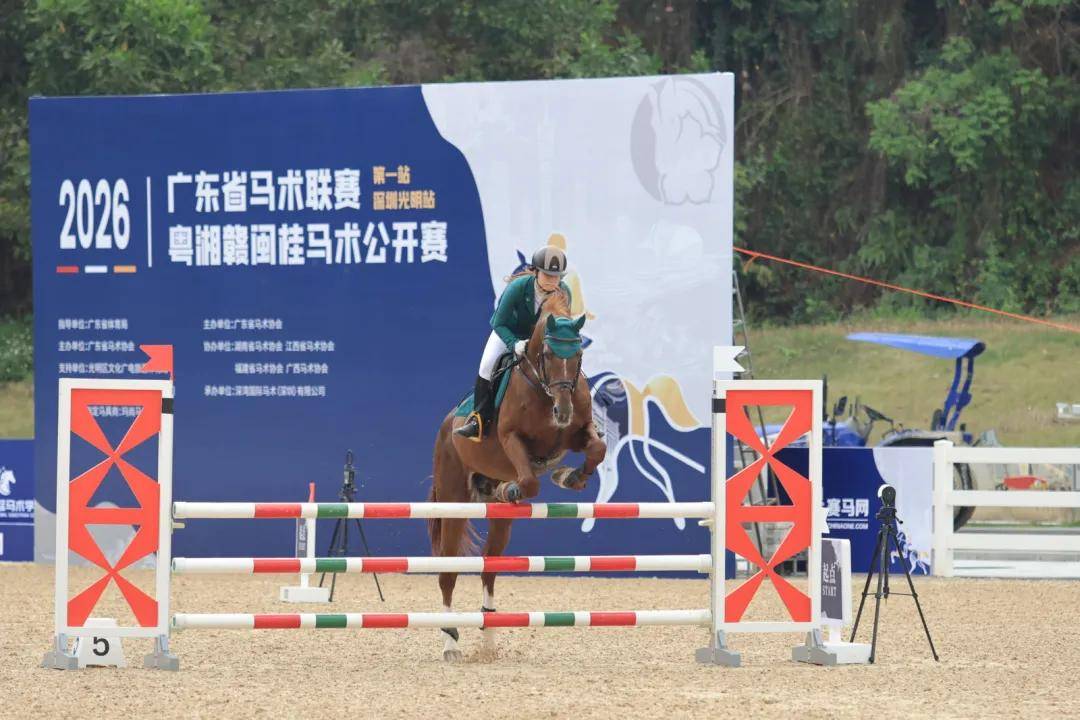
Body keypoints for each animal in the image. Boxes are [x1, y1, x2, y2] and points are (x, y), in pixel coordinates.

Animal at [428, 290, 606, 661]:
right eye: (548, 354)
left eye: (579, 353)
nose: (562, 411)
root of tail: (448, 422)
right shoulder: (512, 438)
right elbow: (529, 480)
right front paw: (516, 488)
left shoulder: (577, 433)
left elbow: (597, 449)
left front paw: (569, 477)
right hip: (453, 500)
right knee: (448, 572)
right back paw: (450, 642)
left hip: (500, 522)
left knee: (489, 567)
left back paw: (489, 639)